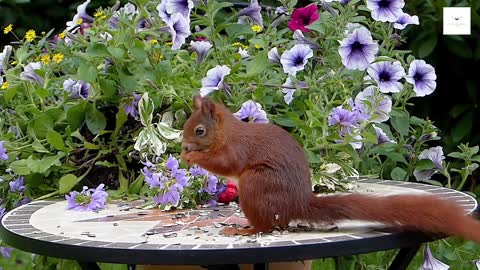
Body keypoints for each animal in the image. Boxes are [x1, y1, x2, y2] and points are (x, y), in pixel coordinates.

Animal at [179, 95, 480, 243]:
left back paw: (244, 230)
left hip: (257, 184)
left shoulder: (236, 149)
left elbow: (224, 164)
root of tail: (299, 203)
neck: (225, 133)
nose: (183, 145)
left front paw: (192, 157)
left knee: (266, 225)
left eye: (199, 130)